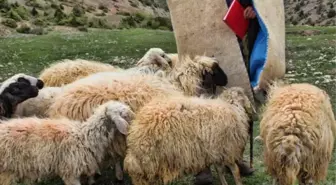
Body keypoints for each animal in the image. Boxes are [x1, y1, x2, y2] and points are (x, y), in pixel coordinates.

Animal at [124, 86, 255, 185]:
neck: (233, 107)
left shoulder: (216, 150)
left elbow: (220, 170)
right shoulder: (227, 149)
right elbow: (235, 171)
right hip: (153, 162)